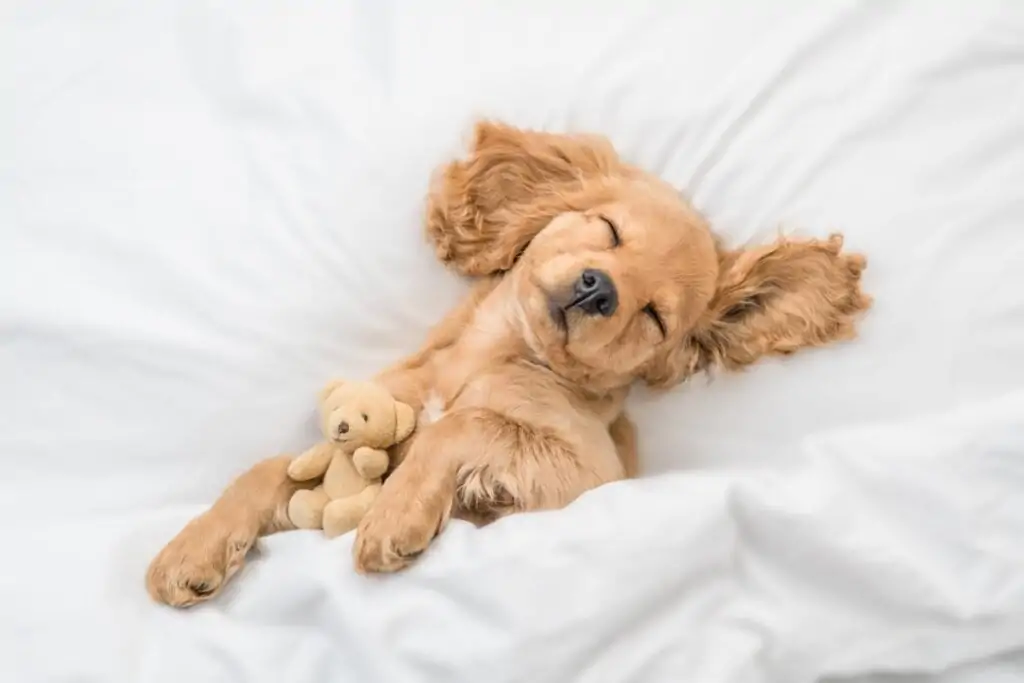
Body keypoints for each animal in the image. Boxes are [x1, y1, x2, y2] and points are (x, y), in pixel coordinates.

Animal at [144, 120, 868, 606]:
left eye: (655, 316)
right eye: (608, 231)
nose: (599, 290)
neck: (490, 354)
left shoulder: (587, 477)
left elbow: (461, 427)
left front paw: (396, 515)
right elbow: (267, 469)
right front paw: (194, 547)